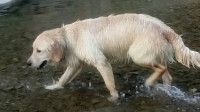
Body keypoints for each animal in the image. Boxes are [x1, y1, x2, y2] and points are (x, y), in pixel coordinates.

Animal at [26, 13, 200, 101]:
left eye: (38, 50)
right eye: (33, 49)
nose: (28, 63)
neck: (69, 38)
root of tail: (166, 29)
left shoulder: (101, 61)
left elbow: (109, 84)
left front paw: (114, 98)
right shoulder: (77, 64)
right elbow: (64, 78)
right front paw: (54, 87)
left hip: (137, 54)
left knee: (161, 68)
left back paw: (149, 82)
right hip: (155, 54)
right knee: (167, 75)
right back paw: (162, 88)